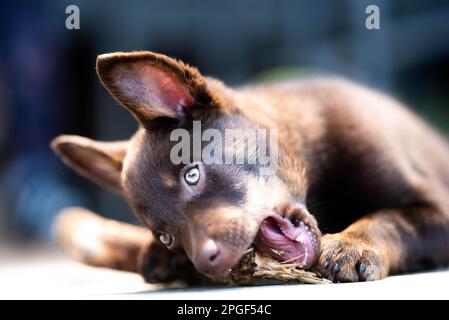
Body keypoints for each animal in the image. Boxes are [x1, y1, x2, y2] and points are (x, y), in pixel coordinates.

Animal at [50, 52, 448, 282]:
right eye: (165, 236)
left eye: (192, 174)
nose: (206, 263)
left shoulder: (437, 207)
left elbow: (393, 219)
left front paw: (353, 245)